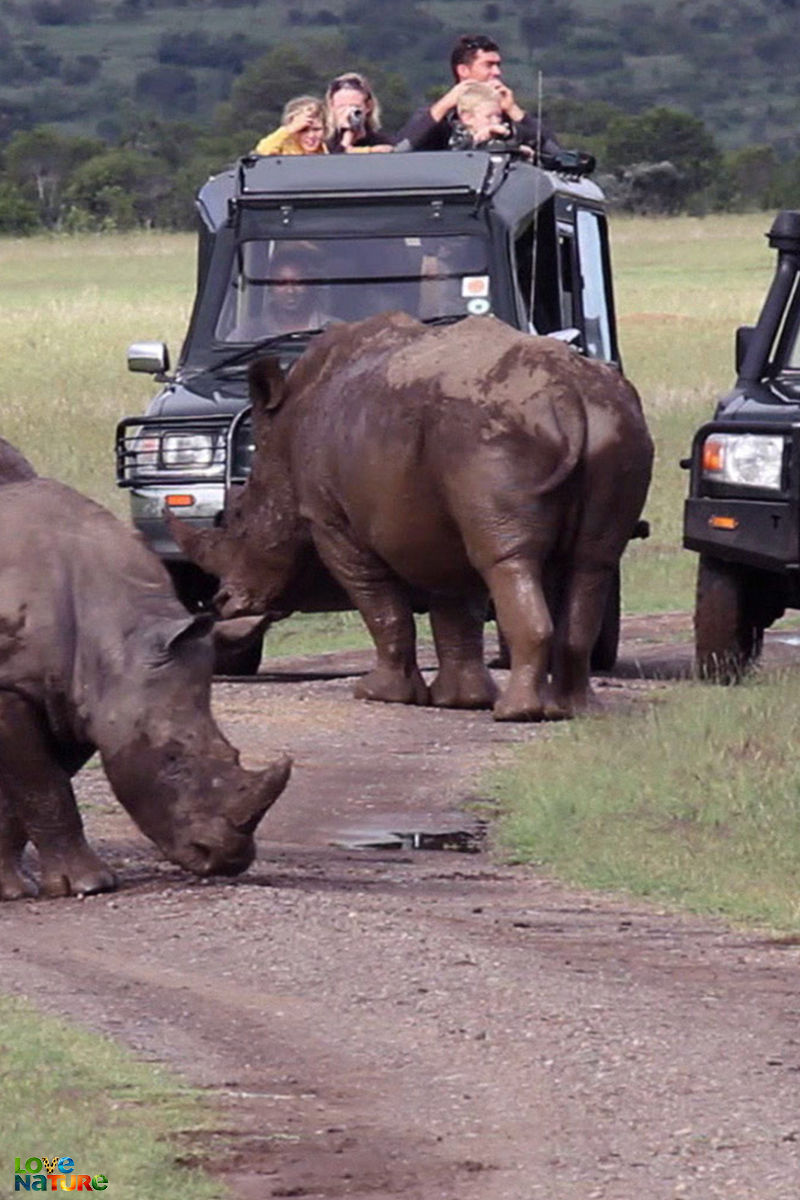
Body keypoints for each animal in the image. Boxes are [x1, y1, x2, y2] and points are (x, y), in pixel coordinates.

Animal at [0, 444, 292, 902]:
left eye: (234, 755)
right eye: (172, 760)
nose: (225, 859)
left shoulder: (76, 697)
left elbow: (29, 789)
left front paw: (10, 888)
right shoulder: (13, 686)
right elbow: (45, 786)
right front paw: (90, 885)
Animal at [169, 312, 652, 720]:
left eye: (239, 518)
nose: (221, 602)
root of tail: (568, 396)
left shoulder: (332, 521)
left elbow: (380, 605)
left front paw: (378, 692)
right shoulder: (437, 515)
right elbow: (455, 605)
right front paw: (461, 701)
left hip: (491, 436)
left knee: (506, 560)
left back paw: (517, 713)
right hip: (614, 426)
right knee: (592, 561)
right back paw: (577, 710)